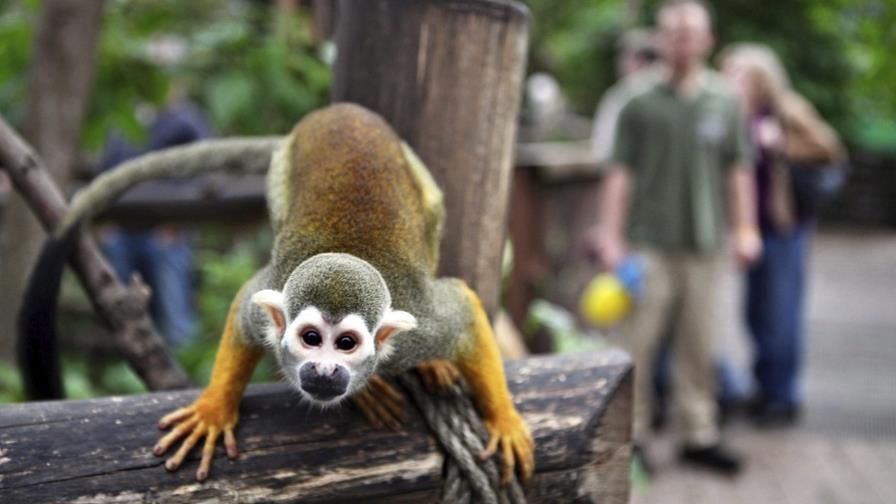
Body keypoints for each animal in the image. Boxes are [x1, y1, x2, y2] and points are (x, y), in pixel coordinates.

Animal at [19, 103, 534, 485]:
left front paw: (505, 421)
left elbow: (464, 309)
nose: (324, 370)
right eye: (311, 338)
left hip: (417, 172)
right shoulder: (271, 297)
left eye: (346, 344)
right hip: (282, 171)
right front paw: (213, 410)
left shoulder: (422, 324)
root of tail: (337, 111)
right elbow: (247, 303)